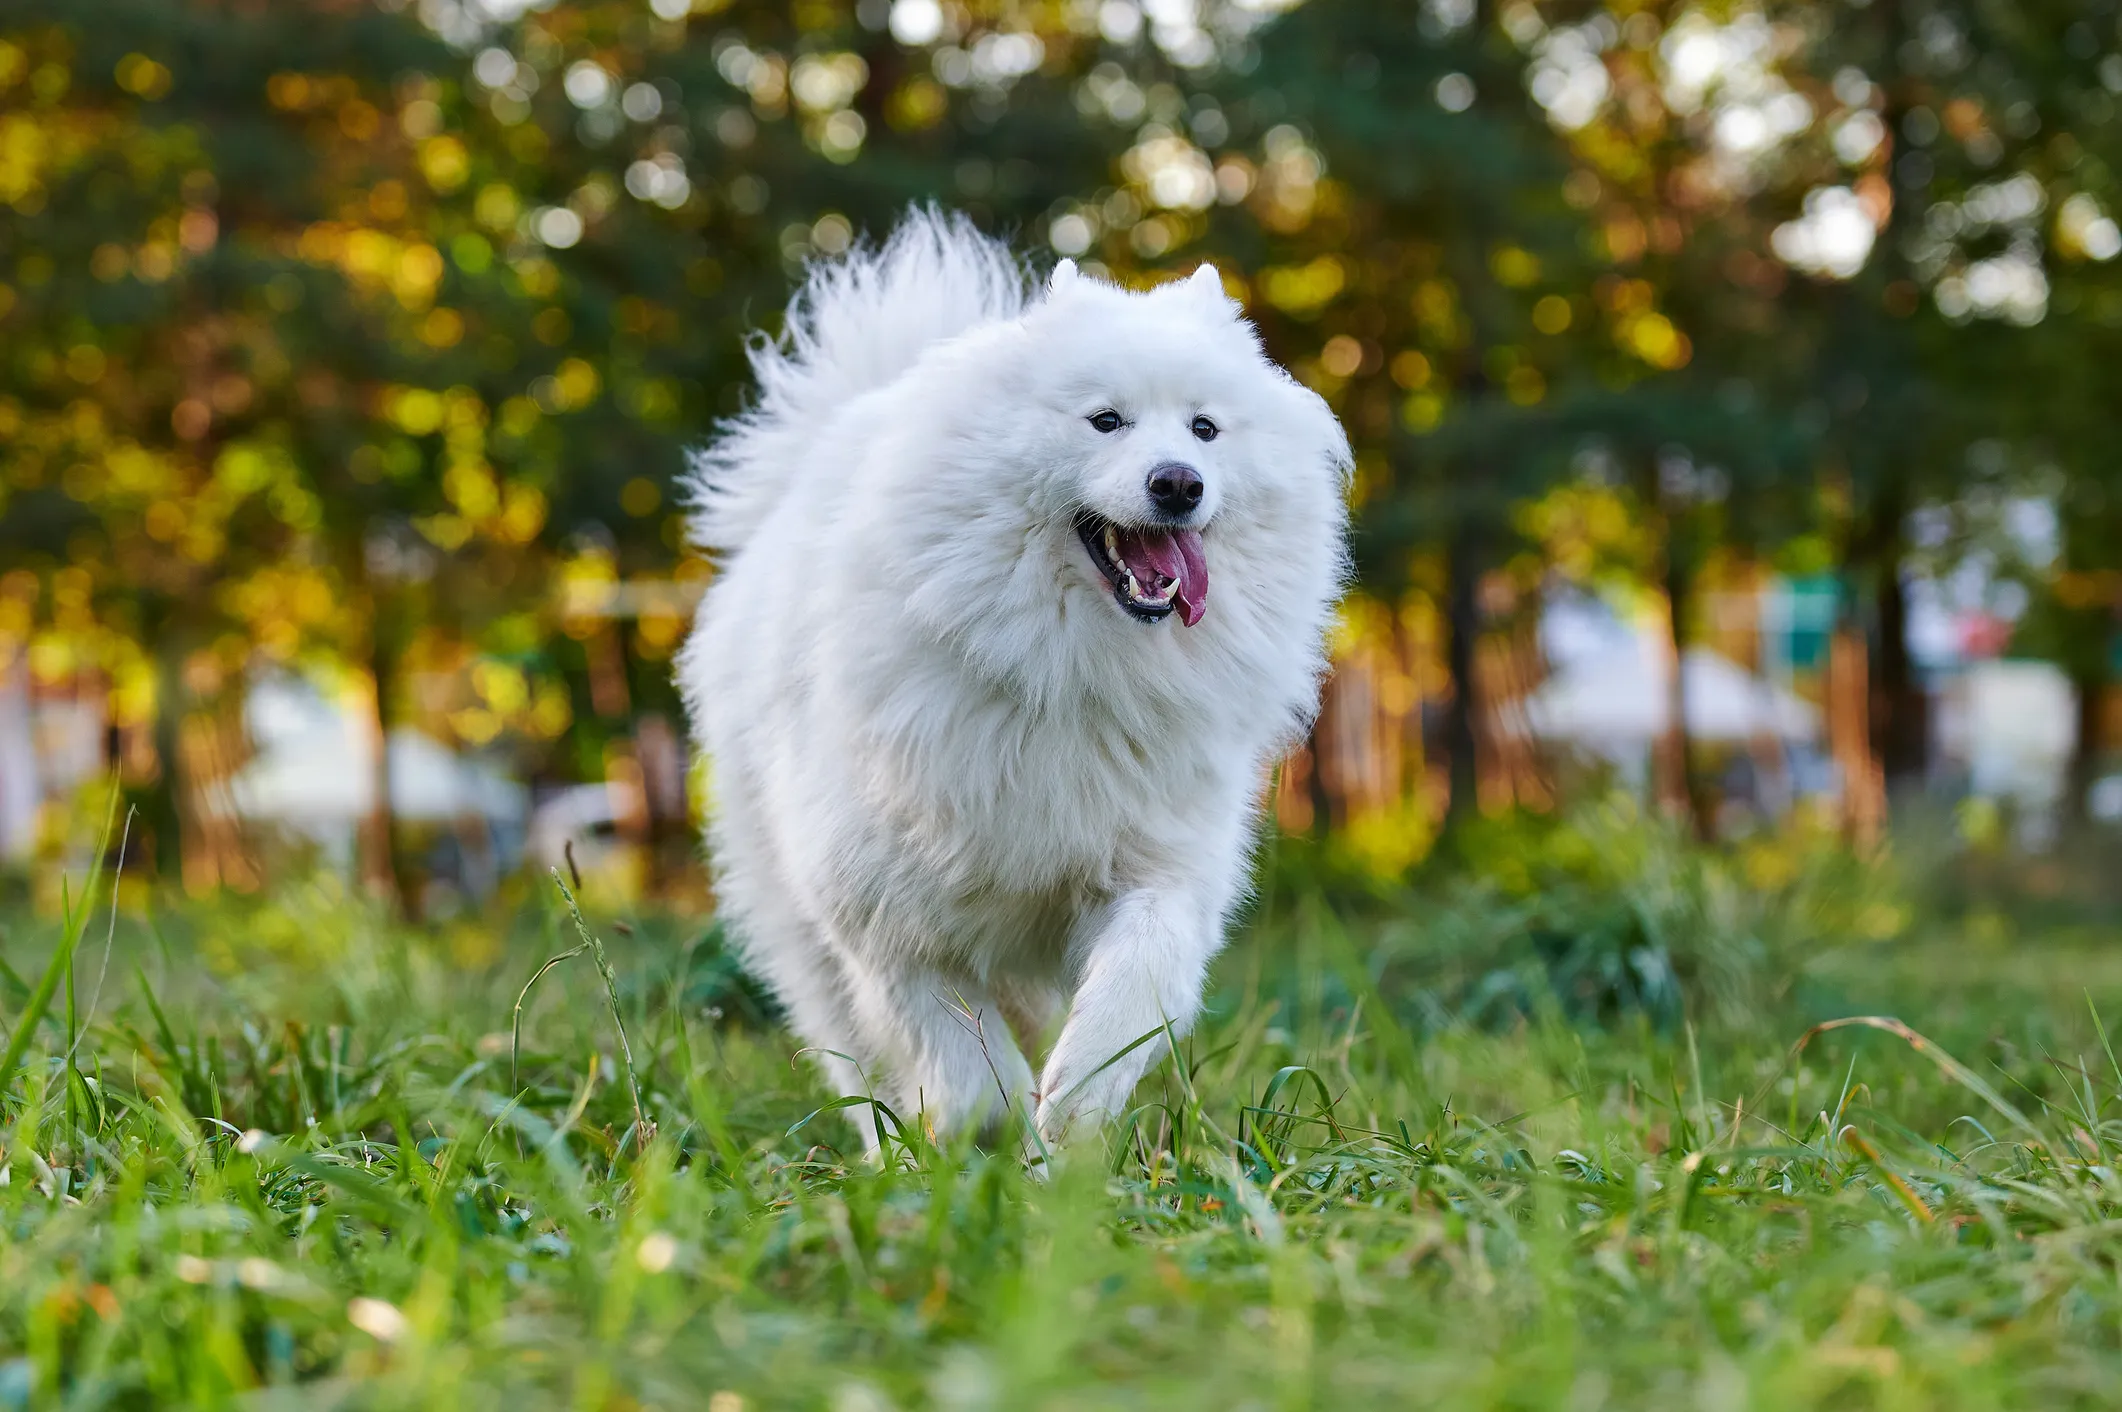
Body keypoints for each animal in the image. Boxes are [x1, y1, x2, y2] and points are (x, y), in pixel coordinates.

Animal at [674, 212, 1341, 1155]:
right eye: (1105, 421)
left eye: (1205, 429)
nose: (1179, 482)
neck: (1062, 664)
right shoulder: (884, 914)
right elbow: (961, 1055)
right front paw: (984, 1138)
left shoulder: (1160, 864)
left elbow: (1137, 982)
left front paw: (1074, 1107)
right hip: (801, 930)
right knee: (854, 1057)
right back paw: (889, 1155)